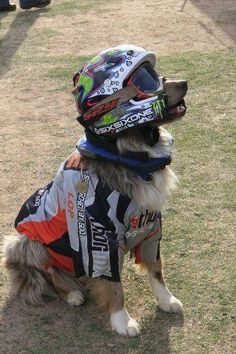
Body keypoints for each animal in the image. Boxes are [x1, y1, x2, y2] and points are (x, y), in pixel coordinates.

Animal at [2, 45, 188, 336]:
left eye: (154, 74)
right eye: (147, 83)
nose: (186, 83)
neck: (127, 155)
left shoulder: (150, 225)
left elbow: (156, 269)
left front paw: (166, 300)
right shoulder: (97, 235)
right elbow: (113, 284)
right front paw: (122, 321)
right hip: (24, 243)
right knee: (50, 275)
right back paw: (71, 294)